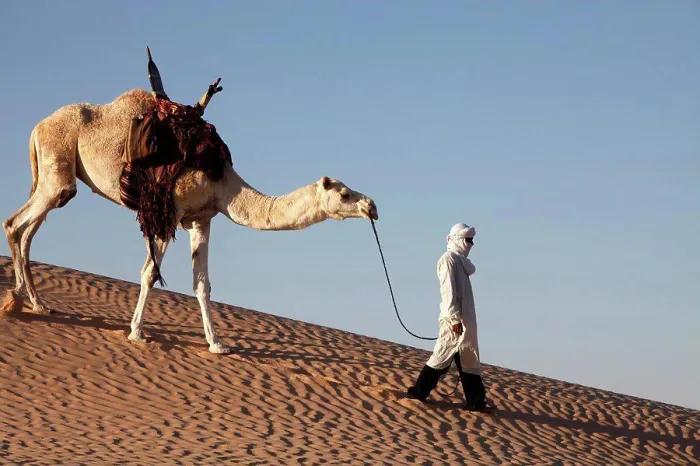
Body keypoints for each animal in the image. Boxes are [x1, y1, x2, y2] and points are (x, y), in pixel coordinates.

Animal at [1, 83, 378, 355]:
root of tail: (37, 127)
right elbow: (150, 272)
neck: (224, 182)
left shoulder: (201, 219)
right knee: (16, 223)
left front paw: (217, 344)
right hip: (58, 166)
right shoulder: (169, 210)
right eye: (345, 194)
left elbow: (202, 283)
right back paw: (17, 300)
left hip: (53, 174)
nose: (371, 206)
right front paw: (137, 333)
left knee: (28, 230)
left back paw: (37, 304)